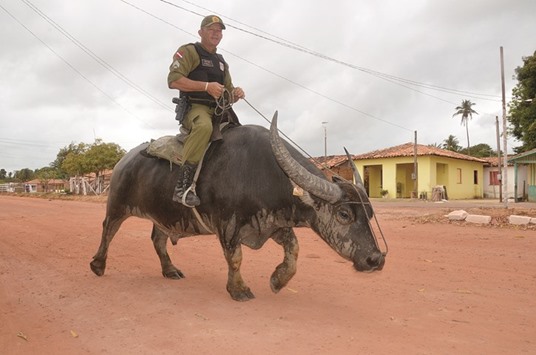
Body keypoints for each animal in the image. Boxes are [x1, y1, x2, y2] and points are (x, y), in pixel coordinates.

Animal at [91, 112, 386, 302]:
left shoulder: (272, 223)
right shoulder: (227, 225)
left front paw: (278, 281)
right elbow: (235, 257)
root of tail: (123, 160)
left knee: (158, 239)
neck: (263, 172)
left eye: (370, 213)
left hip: (164, 215)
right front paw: (239, 289)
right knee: (108, 229)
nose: (376, 259)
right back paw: (98, 265)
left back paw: (170, 270)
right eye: (344, 214)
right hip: (117, 204)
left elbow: (294, 251)